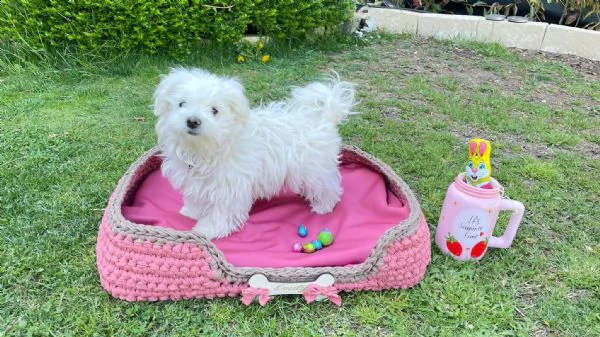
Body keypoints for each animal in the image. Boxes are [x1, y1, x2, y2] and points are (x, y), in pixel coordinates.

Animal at [154, 67, 356, 238]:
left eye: (215, 110)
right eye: (181, 104)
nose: (193, 121)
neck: (205, 148)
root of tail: (325, 116)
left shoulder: (230, 187)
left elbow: (221, 212)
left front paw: (208, 229)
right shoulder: (196, 182)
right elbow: (196, 198)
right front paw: (192, 212)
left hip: (314, 169)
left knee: (328, 186)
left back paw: (323, 206)